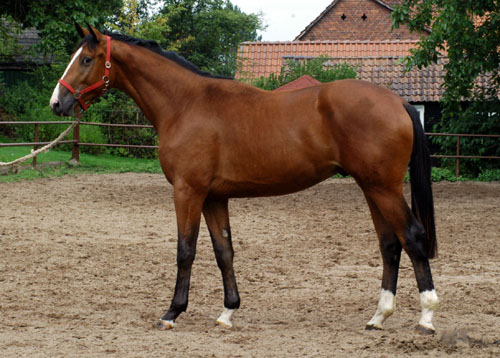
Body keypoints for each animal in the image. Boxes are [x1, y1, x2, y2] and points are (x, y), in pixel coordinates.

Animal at [49, 24, 438, 332]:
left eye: (86, 60)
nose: (57, 102)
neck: (186, 103)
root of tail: (398, 102)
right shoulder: (214, 197)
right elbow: (224, 251)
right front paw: (227, 312)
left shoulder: (188, 192)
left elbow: (185, 250)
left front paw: (172, 312)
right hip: (371, 188)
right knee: (390, 245)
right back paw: (378, 317)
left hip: (383, 188)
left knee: (413, 237)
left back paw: (426, 318)